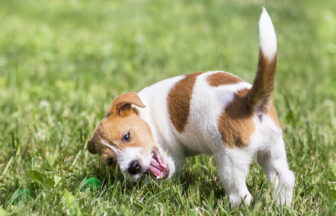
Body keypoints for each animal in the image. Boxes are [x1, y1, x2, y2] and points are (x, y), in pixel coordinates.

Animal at [86, 8, 294, 207]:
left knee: (241, 196)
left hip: (230, 162)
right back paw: (282, 207)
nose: (133, 167)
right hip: (272, 151)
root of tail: (248, 101)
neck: (147, 115)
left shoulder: (173, 155)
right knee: (285, 179)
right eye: (110, 161)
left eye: (127, 136)